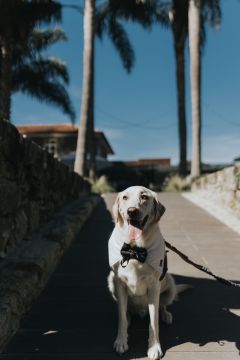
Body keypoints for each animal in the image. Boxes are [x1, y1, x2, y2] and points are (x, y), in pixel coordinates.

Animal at [108, 187, 188, 358]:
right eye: (125, 197)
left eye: (144, 197)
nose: (132, 211)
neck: (134, 251)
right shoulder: (119, 283)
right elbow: (121, 316)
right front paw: (121, 341)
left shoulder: (154, 287)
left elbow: (153, 322)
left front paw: (154, 347)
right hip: (111, 282)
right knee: (126, 311)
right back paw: (130, 317)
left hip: (170, 284)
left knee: (162, 306)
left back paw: (166, 315)